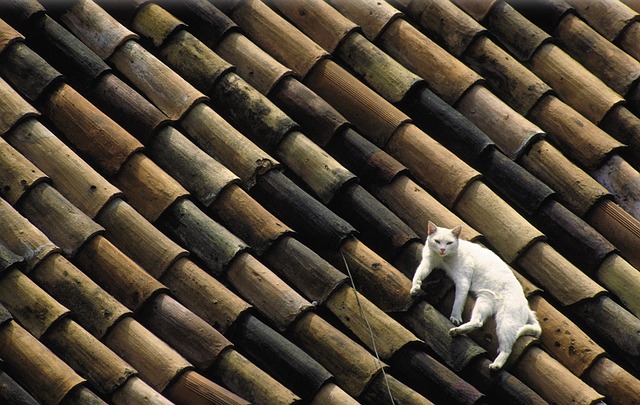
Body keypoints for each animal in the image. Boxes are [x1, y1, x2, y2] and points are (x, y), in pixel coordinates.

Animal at [410, 221, 540, 370]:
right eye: (437, 241)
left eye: (449, 243)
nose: (442, 249)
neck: (443, 259)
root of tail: (527, 306)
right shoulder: (427, 264)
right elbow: (418, 275)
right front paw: (415, 288)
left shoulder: (463, 280)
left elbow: (458, 301)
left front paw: (455, 317)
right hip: (484, 301)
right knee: (478, 322)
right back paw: (457, 331)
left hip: (505, 322)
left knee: (507, 349)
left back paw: (496, 365)